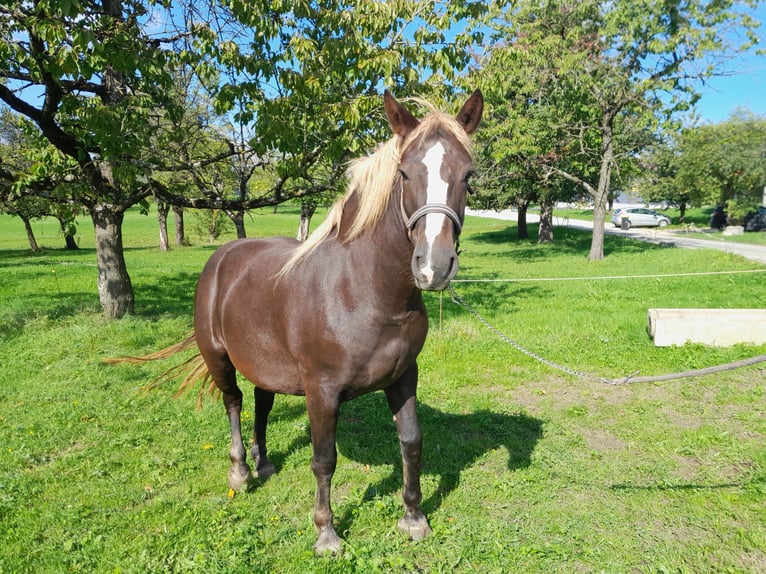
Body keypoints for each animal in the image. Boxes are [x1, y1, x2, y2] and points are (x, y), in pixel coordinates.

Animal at [117, 90, 482, 554]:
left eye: (468, 175)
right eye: (404, 173)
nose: (434, 267)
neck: (363, 291)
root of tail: (222, 257)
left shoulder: (404, 377)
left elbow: (412, 443)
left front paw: (414, 518)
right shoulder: (322, 391)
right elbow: (324, 459)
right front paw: (326, 532)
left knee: (261, 401)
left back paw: (264, 462)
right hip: (219, 358)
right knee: (234, 402)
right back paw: (240, 471)